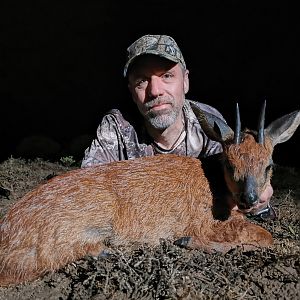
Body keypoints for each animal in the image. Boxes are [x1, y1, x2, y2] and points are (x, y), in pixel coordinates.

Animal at [0, 103, 298, 288]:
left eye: (268, 165)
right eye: (229, 164)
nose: (250, 198)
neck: (215, 188)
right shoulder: (201, 221)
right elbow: (263, 236)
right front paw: (192, 242)